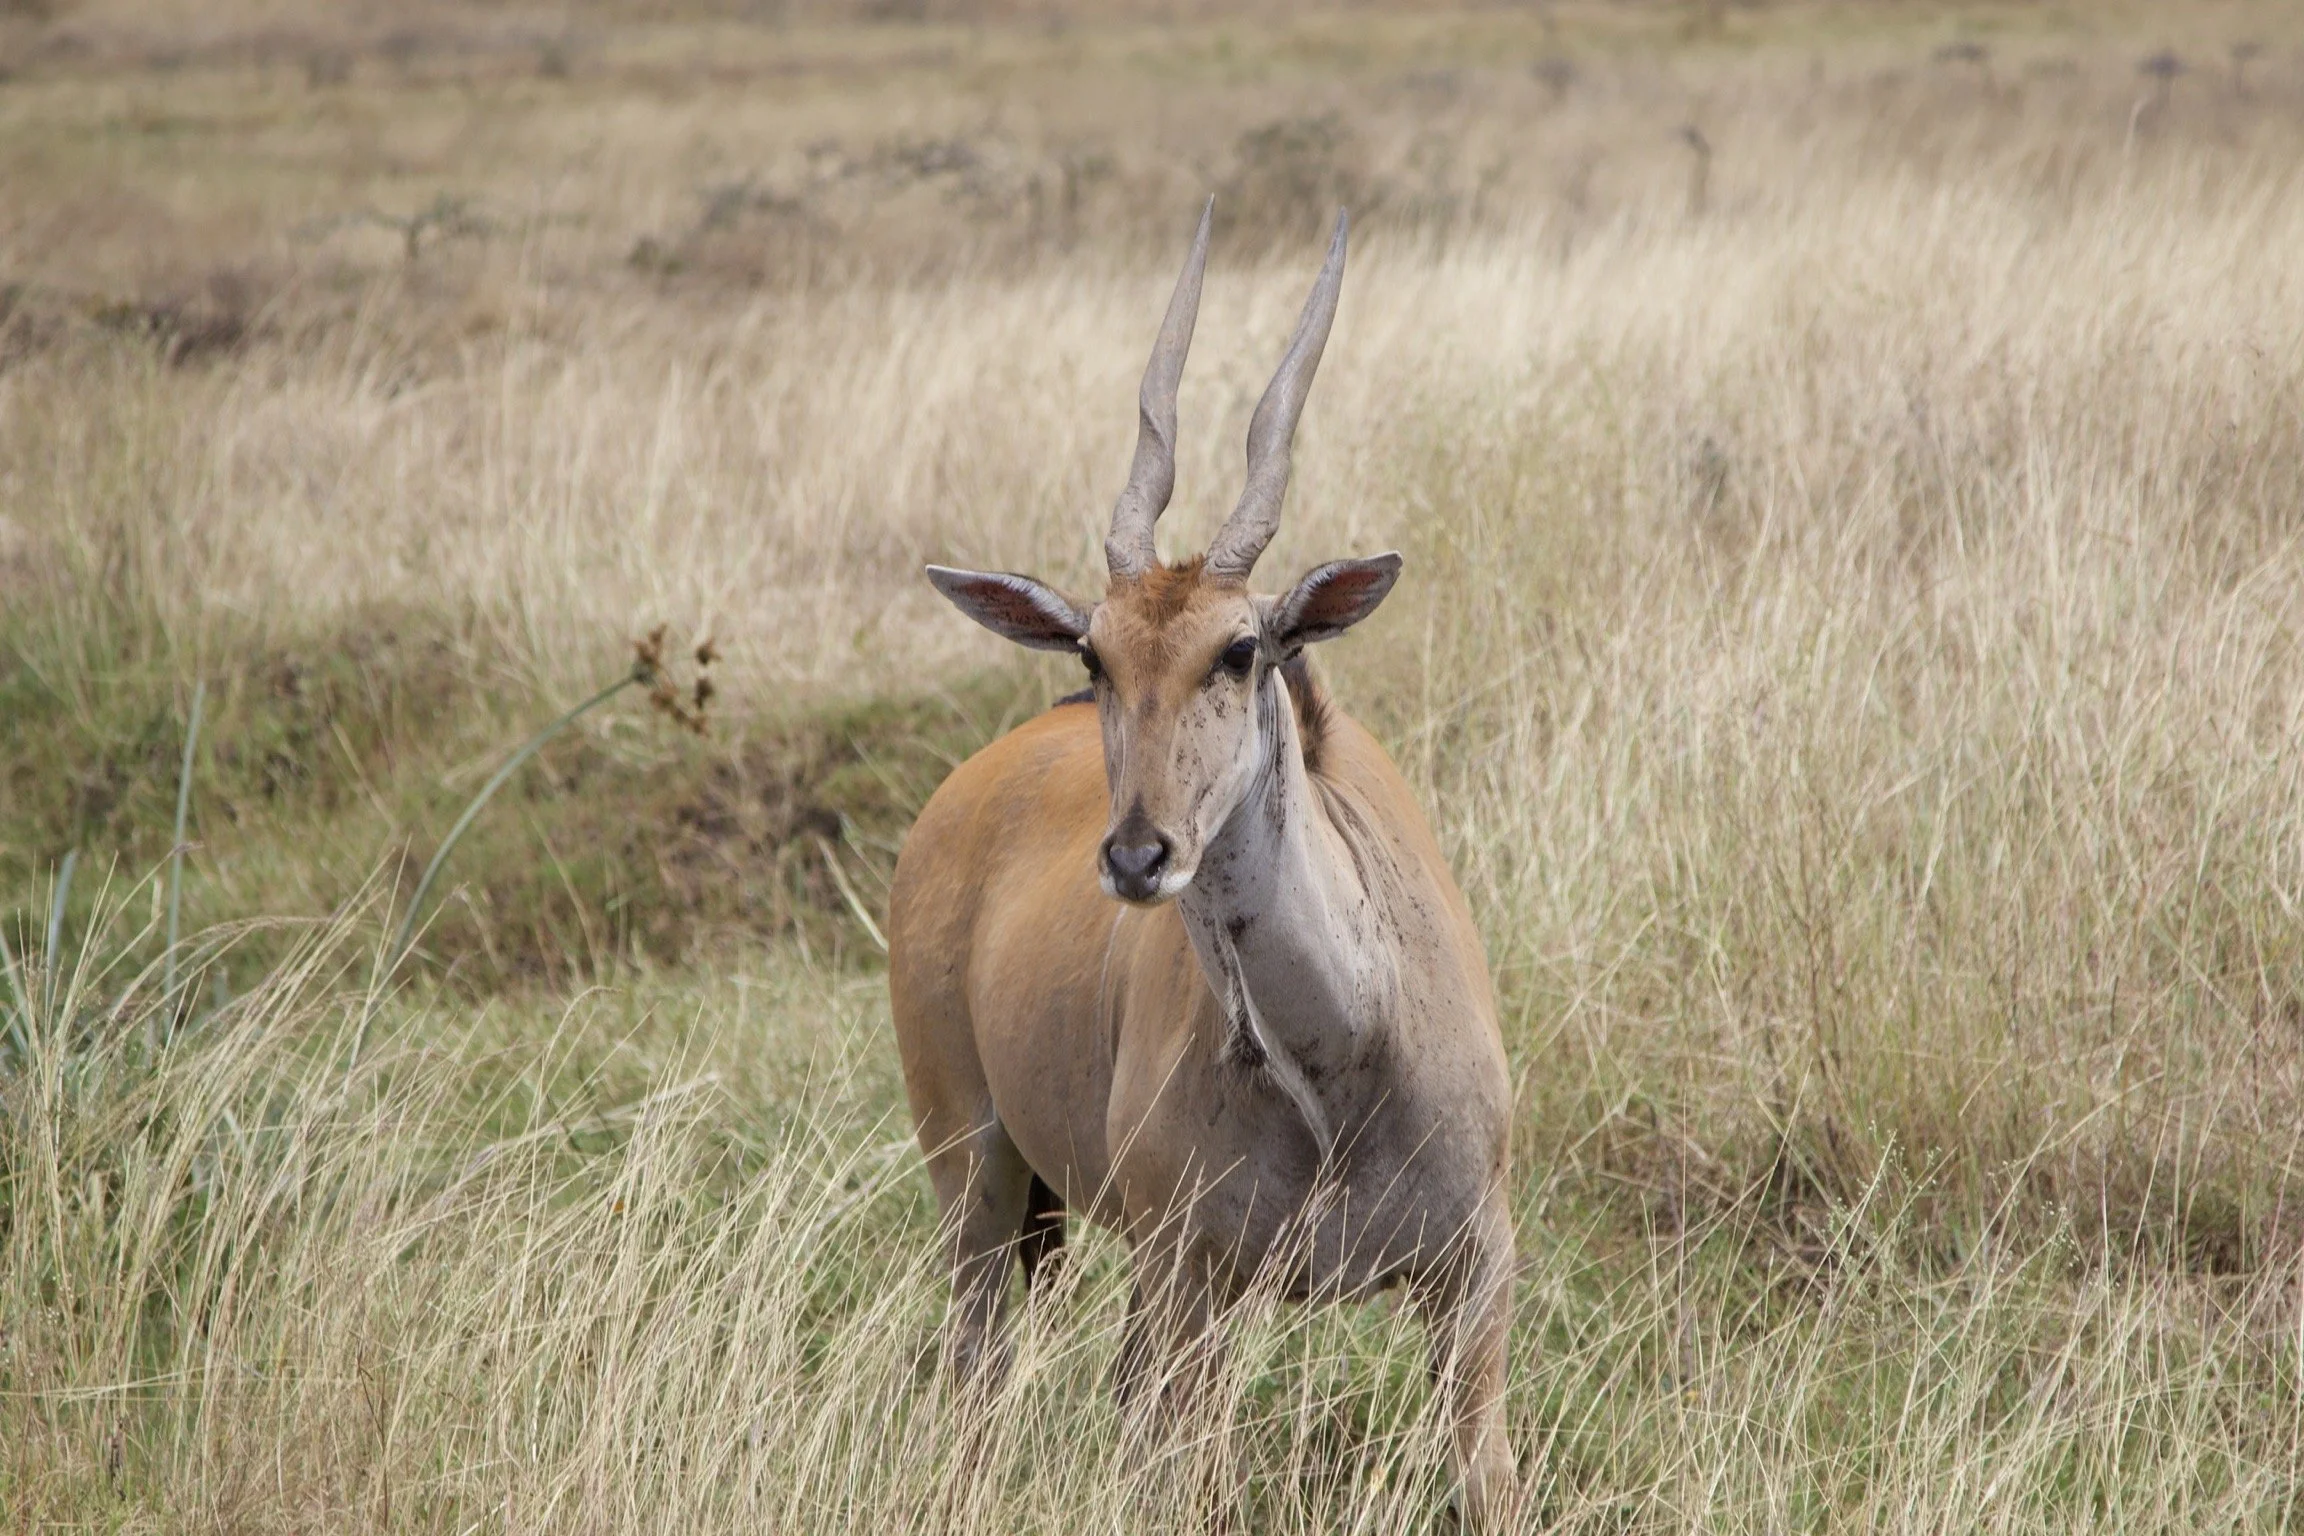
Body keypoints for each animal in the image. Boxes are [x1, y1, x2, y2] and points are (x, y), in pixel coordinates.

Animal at [887, 204, 1515, 1527]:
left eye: (1240, 650)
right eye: (1094, 652)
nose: (1139, 854)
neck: (1338, 1064)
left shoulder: (1477, 1270)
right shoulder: (1195, 1278)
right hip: (976, 1181)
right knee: (979, 1377)